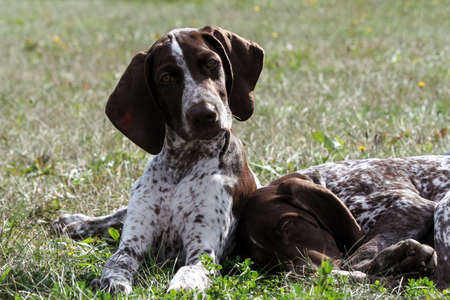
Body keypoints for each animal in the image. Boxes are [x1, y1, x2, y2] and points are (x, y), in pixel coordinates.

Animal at [53, 25, 264, 292]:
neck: (183, 163)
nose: (204, 115)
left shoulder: (202, 252)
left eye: (211, 63)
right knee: (117, 216)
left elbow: (186, 275)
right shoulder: (132, 243)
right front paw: (112, 281)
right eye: (166, 79)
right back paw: (74, 222)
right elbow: (117, 261)